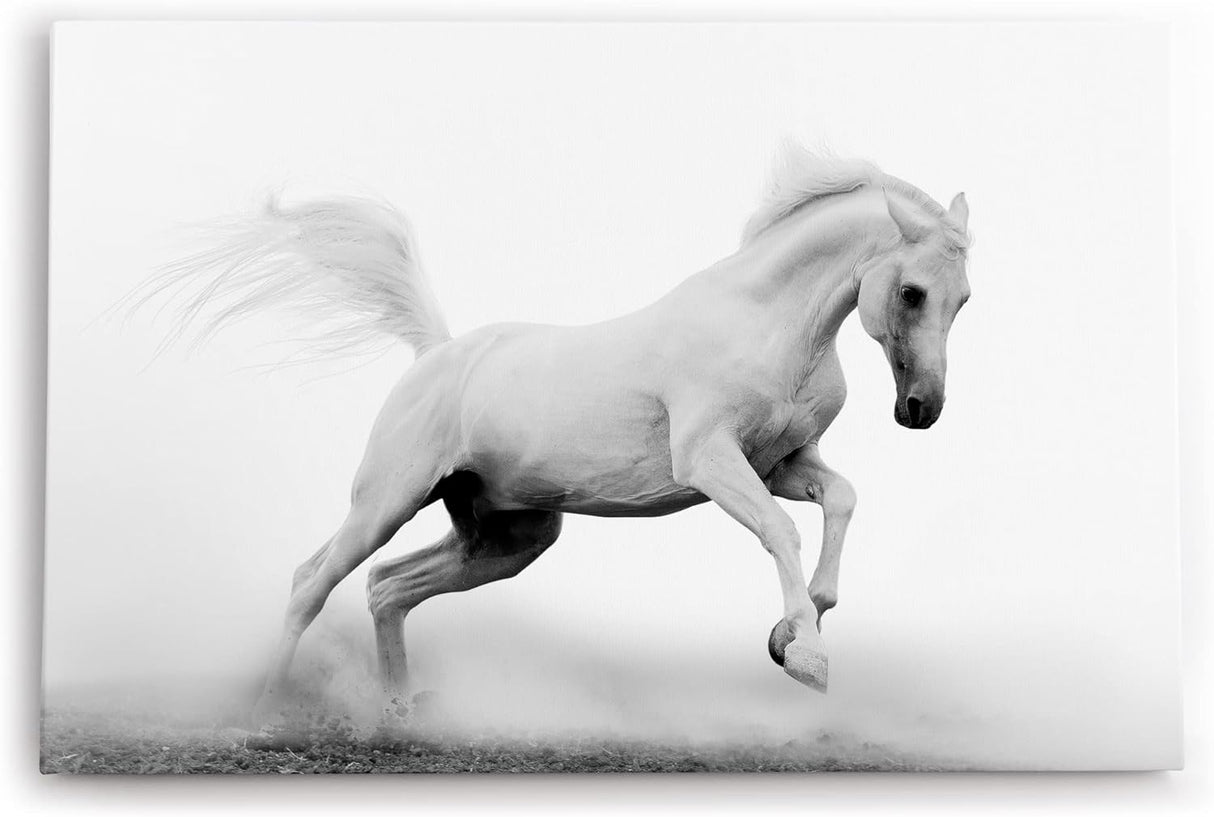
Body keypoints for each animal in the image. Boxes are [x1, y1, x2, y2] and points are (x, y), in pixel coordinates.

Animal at [141, 146, 971, 719]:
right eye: (911, 291)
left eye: (963, 297)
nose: (921, 407)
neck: (768, 325)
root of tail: (438, 352)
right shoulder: (711, 460)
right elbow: (780, 530)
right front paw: (804, 655)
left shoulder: (782, 462)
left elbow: (842, 498)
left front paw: (803, 622)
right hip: (386, 500)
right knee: (312, 581)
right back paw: (266, 710)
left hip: (509, 535)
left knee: (386, 588)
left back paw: (402, 714)